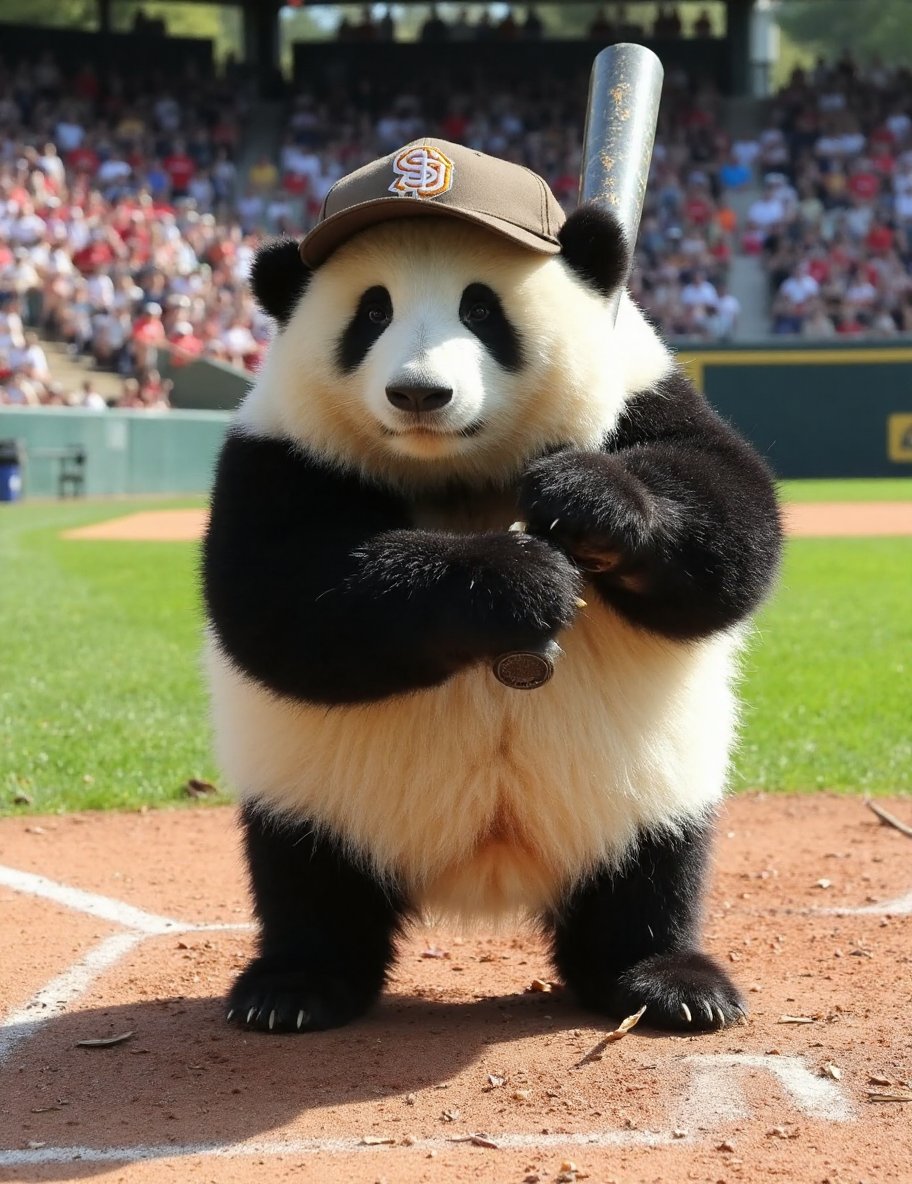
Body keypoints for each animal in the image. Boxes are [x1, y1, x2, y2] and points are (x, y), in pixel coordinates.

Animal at [202, 138, 776, 1037]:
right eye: (371, 312)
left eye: (481, 308)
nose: (419, 393)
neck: (462, 470)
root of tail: (484, 873)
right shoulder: (282, 450)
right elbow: (279, 600)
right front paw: (512, 581)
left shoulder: (642, 394)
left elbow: (732, 525)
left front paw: (589, 501)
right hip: (318, 795)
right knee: (306, 878)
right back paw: (292, 988)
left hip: (645, 789)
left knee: (653, 872)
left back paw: (667, 982)